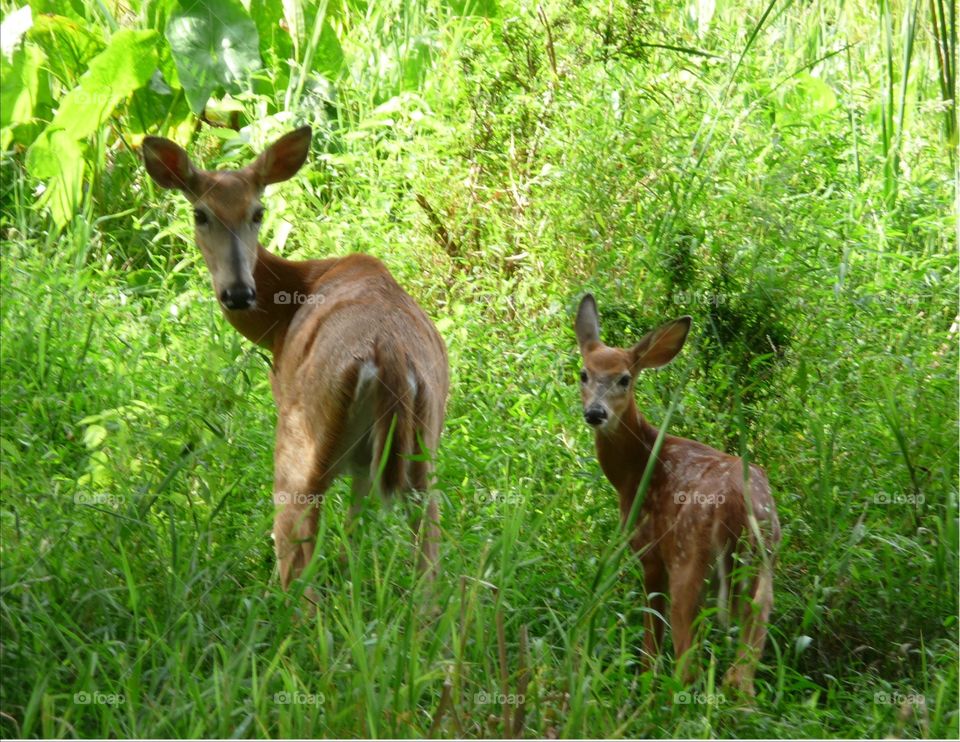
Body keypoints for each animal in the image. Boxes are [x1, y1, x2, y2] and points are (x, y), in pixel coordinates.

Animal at [142, 127, 449, 596]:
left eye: (257, 211)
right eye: (201, 214)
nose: (238, 293)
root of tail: (390, 357)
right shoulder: (364, 462)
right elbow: (354, 532)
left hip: (298, 442)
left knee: (298, 560)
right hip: (422, 456)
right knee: (430, 570)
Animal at [574, 294, 781, 697]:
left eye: (625, 378)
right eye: (584, 374)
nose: (595, 413)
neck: (636, 470)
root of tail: (737, 506)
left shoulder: (649, 551)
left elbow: (652, 630)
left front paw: (643, 679)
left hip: (690, 557)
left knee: (689, 664)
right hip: (763, 567)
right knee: (742, 674)